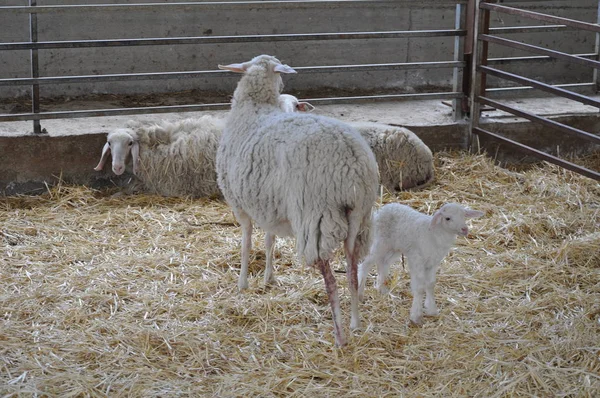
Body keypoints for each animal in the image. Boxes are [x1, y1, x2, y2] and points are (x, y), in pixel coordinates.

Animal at [216, 54, 378, 346]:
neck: (254, 107)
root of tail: (352, 165)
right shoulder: (268, 204)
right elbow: (268, 240)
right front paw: (268, 278)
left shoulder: (239, 202)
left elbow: (246, 241)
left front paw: (243, 282)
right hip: (360, 218)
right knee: (352, 272)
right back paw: (356, 323)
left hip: (316, 216)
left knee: (331, 279)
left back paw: (340, 336)